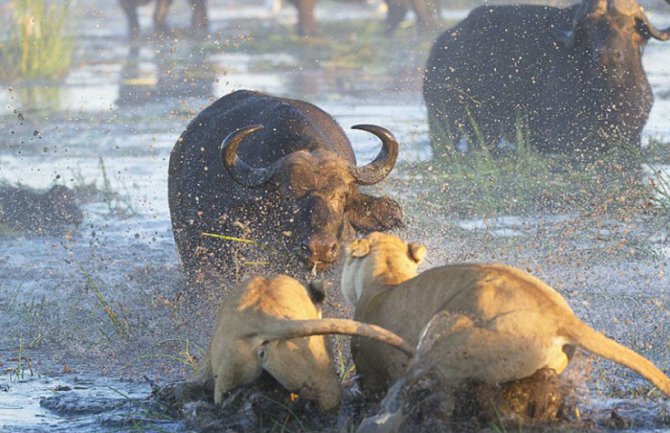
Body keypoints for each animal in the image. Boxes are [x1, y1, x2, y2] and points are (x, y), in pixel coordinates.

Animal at [426, 0, 670, 157]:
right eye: (591, 29)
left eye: (628, 27)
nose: (608, 55)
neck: (610, 96)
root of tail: (442, 45)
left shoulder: (632, 136)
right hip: (443, 125)